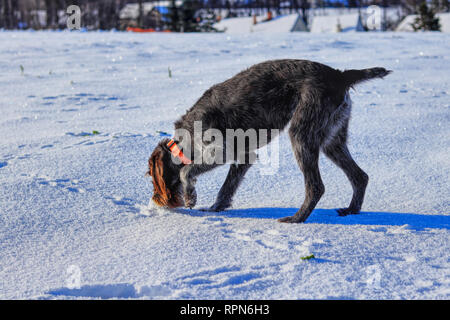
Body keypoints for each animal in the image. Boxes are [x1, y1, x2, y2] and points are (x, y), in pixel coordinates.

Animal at [148, 60, 390, 225]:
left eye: (151, 176)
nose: (157, 201)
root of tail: (340, 76)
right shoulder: (244, 156)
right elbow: (227, 188)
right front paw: (216, 208)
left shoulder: (221, 150)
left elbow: (186, 171)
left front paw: (191, 198)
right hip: (333, 141)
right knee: (360, 176)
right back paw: (351, 211)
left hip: (301, 134)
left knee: (316, 186)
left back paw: (297, 218)